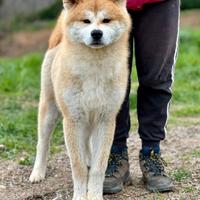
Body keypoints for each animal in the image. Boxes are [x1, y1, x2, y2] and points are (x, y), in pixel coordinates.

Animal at [28, 0, 130, 199]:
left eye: (106, 20)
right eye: (86, 21)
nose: (96, 33)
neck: (95, 68)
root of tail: (58, 43)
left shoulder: (105, 120)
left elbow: (99, 167)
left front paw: (95, 194)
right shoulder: (73, 120)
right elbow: (78, 167)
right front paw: (81, 195)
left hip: (89, 120)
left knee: (87, 144)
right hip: (50, 111)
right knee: (42, 143)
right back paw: (37, 173)